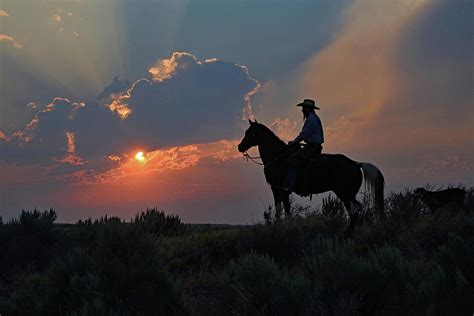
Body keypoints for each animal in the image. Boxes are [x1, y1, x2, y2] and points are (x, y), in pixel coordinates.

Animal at [237, 119, 386, 236]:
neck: (277, 158)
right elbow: (284, 209)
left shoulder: (279, 188)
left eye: (249, 133)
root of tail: (356, 163)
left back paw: (346, 233)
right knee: (357, 209)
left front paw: (282, 228)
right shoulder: (281, 190)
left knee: (354, 211)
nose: (239, 147)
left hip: (344, 194)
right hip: (348, 194)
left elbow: (282, 210)